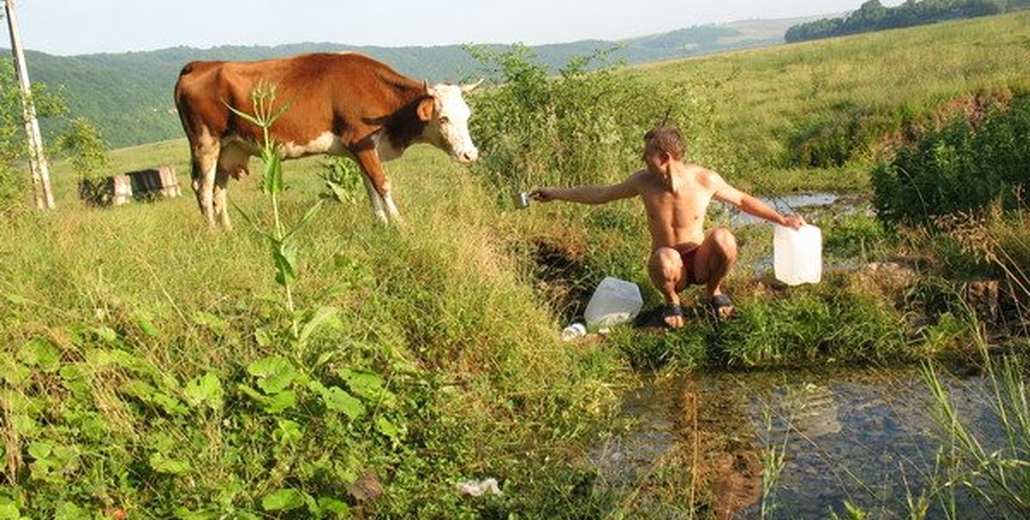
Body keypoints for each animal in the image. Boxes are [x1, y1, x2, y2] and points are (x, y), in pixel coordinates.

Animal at [174, 52, 482, 226]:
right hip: (205, 143)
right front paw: (400, 224)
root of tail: (199, 65)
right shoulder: (361, 141)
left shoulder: (362, 148)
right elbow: (382, 184)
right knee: (203, 189)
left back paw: (228, 229)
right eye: (443, 118)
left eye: (467, 115)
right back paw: (213, 233)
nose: (470, 154)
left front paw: (381, 224)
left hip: (227, 148)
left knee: (218, 190)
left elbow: (370, 188)